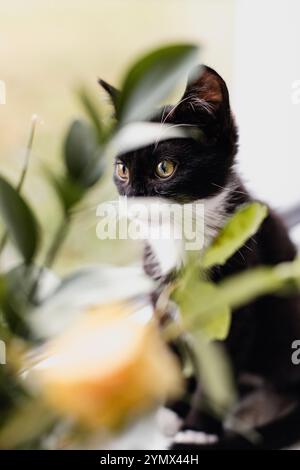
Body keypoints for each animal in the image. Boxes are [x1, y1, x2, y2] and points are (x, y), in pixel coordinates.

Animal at [99, 65, 300, 448]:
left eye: (165, 168)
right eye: (122, 170)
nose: (134, 203)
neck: (181, 236)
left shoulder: (237, 309)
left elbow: (219, 369)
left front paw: (197, 429)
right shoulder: (161, 299)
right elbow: (172, 352)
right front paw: (174, 407)